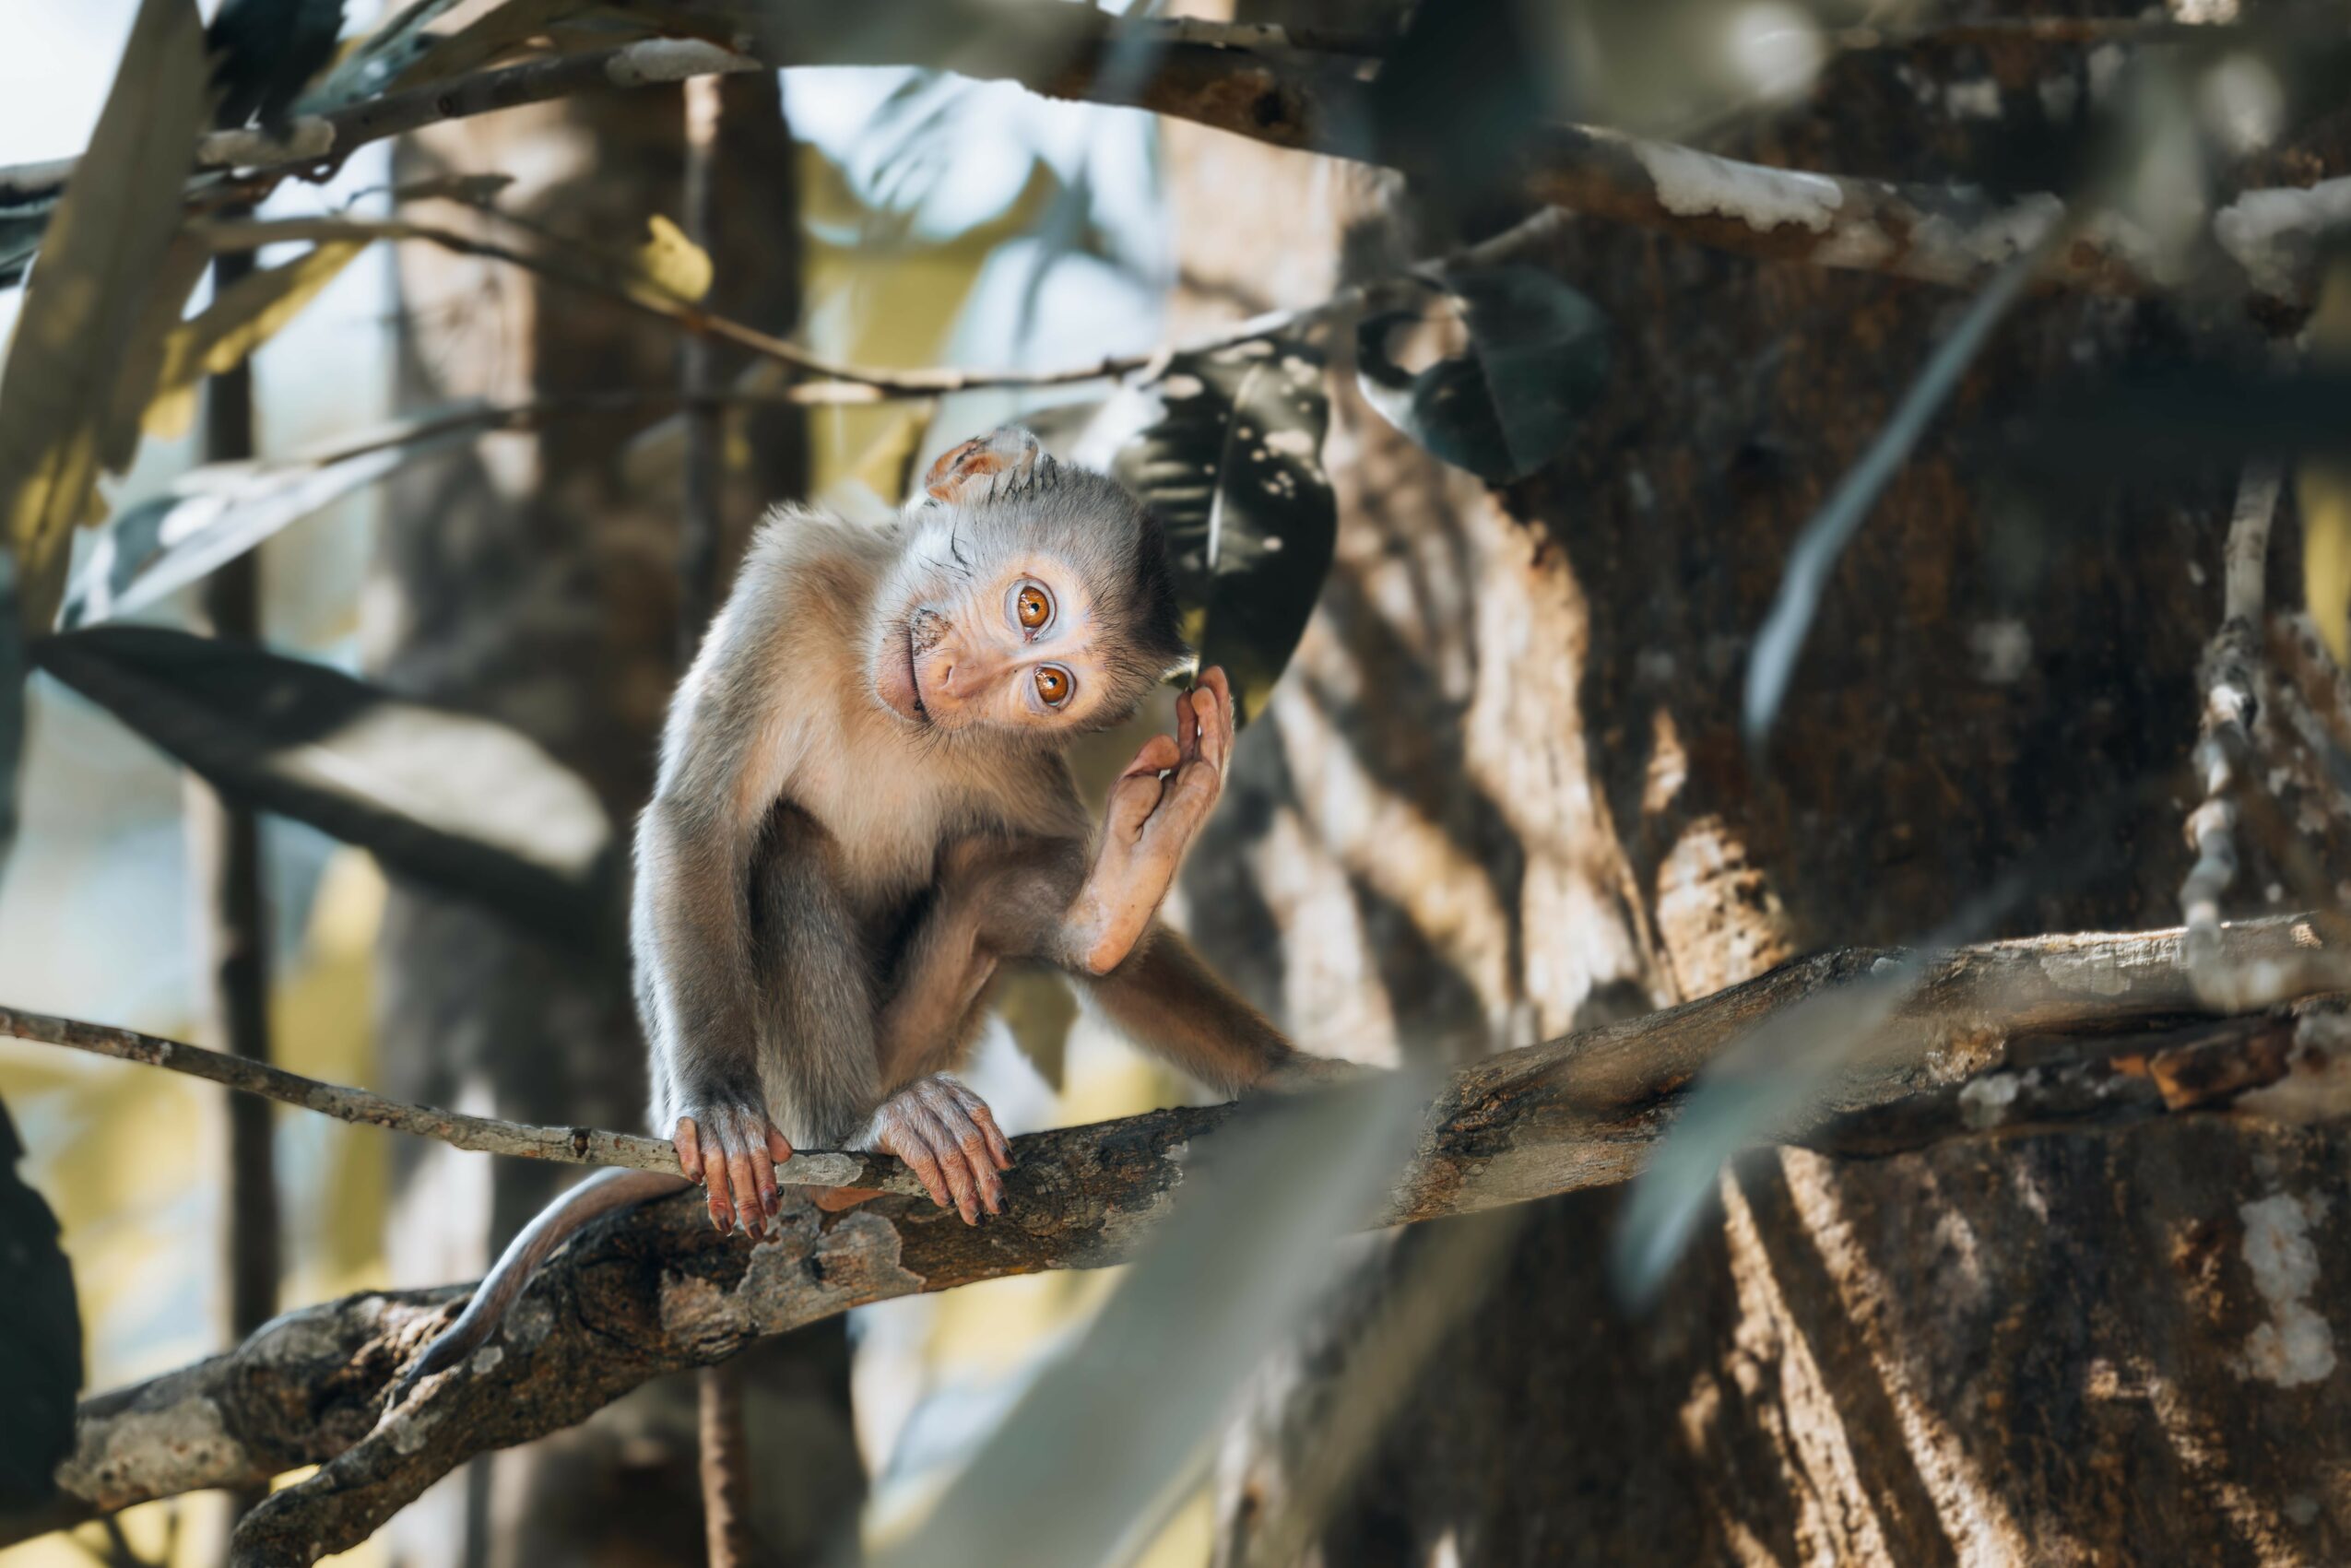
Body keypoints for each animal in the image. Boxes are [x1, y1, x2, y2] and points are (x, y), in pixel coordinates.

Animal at [402, 426, 1322, 1388]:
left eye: (1050, 687)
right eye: (1033, 607)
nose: (962, 680)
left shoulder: (1019, 756)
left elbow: (1072, 890)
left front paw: (1284, 1067)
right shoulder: (788, 589)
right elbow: (701, 824)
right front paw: (719, 1106)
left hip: (922, 1035)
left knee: (995, 876)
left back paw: (1106, 910)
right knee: (783, 842)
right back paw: (854, 1140)